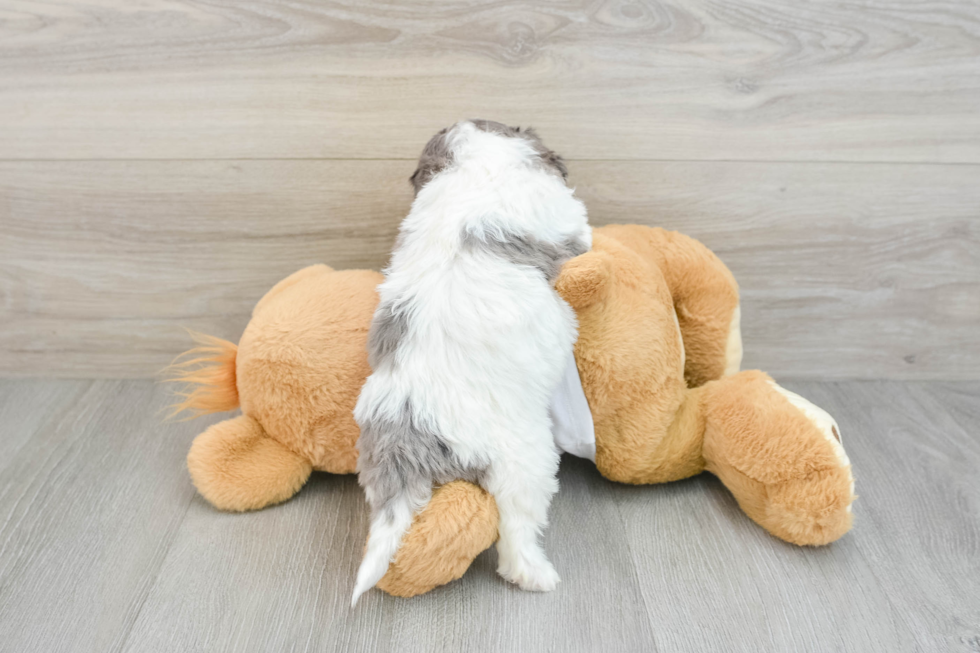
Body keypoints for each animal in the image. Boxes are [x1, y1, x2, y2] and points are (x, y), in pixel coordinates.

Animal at [354, 119, 592, 604]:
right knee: (517, 530)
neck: (480, 161)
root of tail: (408, 423)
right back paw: (536, 574)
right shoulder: (560, 215)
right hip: (525, 460)